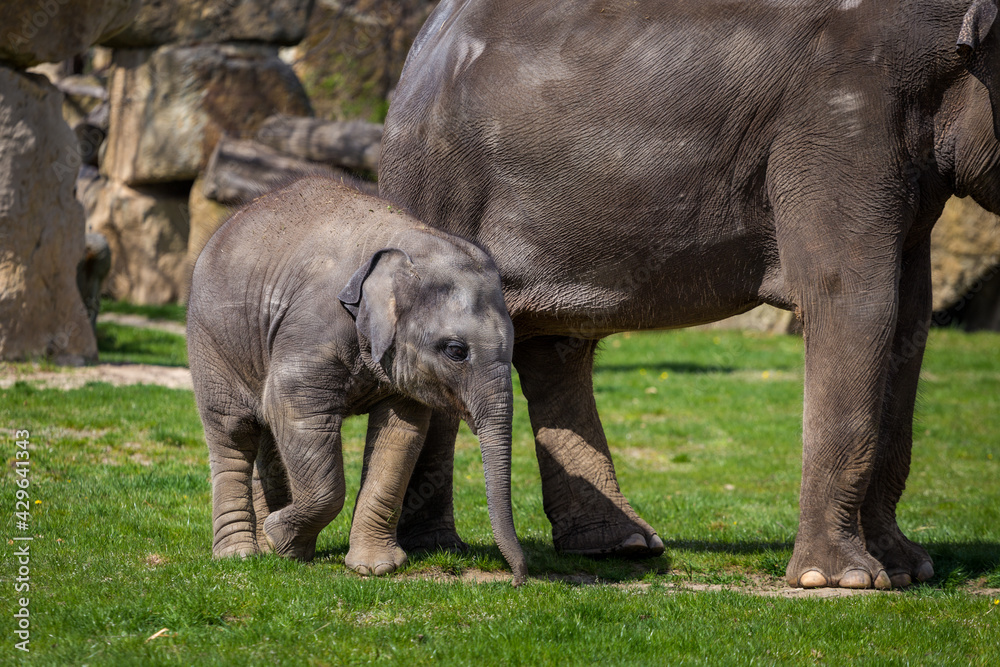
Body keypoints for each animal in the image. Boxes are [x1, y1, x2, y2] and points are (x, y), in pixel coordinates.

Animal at [186, 177, 527, 584]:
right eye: (457, 350)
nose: (517, 579)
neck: (408, 242)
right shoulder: (314, 325)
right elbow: (294, 408)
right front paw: (281, 538)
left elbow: (401, 433)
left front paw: (373, 567)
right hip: (211, 338)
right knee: (233, 431)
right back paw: (239, 555)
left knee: (266, 434)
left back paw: (268, 548)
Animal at [377, 0, 1000, 589]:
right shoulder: (843, 114)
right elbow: (853, 300)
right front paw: (843, 580)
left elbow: (910, 317)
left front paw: (907, 569)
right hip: (435, 181)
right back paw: (440, 549)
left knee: (558, 347)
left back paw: (618, 546)